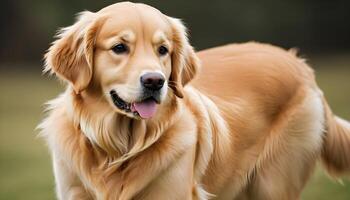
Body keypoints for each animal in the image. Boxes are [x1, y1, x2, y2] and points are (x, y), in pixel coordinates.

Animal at [39, 1, 350, 200]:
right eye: (119, 47)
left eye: (162, 50)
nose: (155, 81)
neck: (118, 150)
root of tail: (300, 65)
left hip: (273, 185)